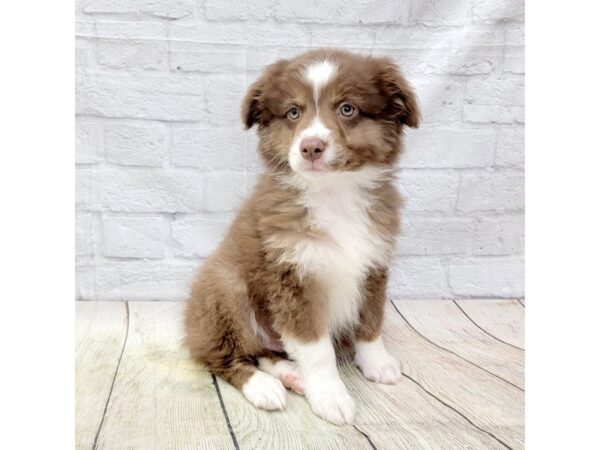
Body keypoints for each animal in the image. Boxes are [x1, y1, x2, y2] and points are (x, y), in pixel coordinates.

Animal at [185, 49, 420, 426]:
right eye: (293, 112)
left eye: (347, 109)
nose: (311, 147)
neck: (334, 195)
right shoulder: (292, 279)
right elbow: (317, 349)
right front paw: (331, 397)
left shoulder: (373, 265)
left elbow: (370, 322)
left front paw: (377, 363)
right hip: (224, 288)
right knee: (227, 356)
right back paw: (264, 387)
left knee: (264, 351)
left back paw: (291, 374)